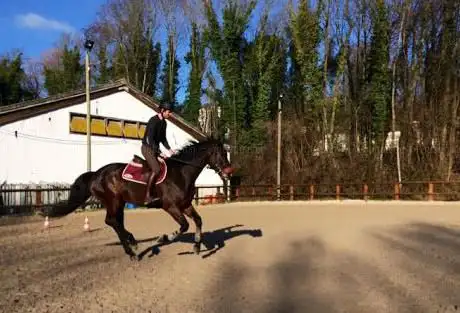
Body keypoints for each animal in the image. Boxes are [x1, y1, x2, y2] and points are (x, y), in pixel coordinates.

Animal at [40, 136, 234, 258]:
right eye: (220, 153)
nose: (229, 171)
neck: (181, 173)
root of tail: (96, 173)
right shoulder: (170, 207)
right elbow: (184, 226)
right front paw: (165, 238)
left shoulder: (185, 205)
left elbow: (198, 221)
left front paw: (197, 246)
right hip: (113, 201)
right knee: (112, 221)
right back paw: (132, 248)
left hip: (119, 202)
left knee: (115, 222)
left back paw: (132, 246)